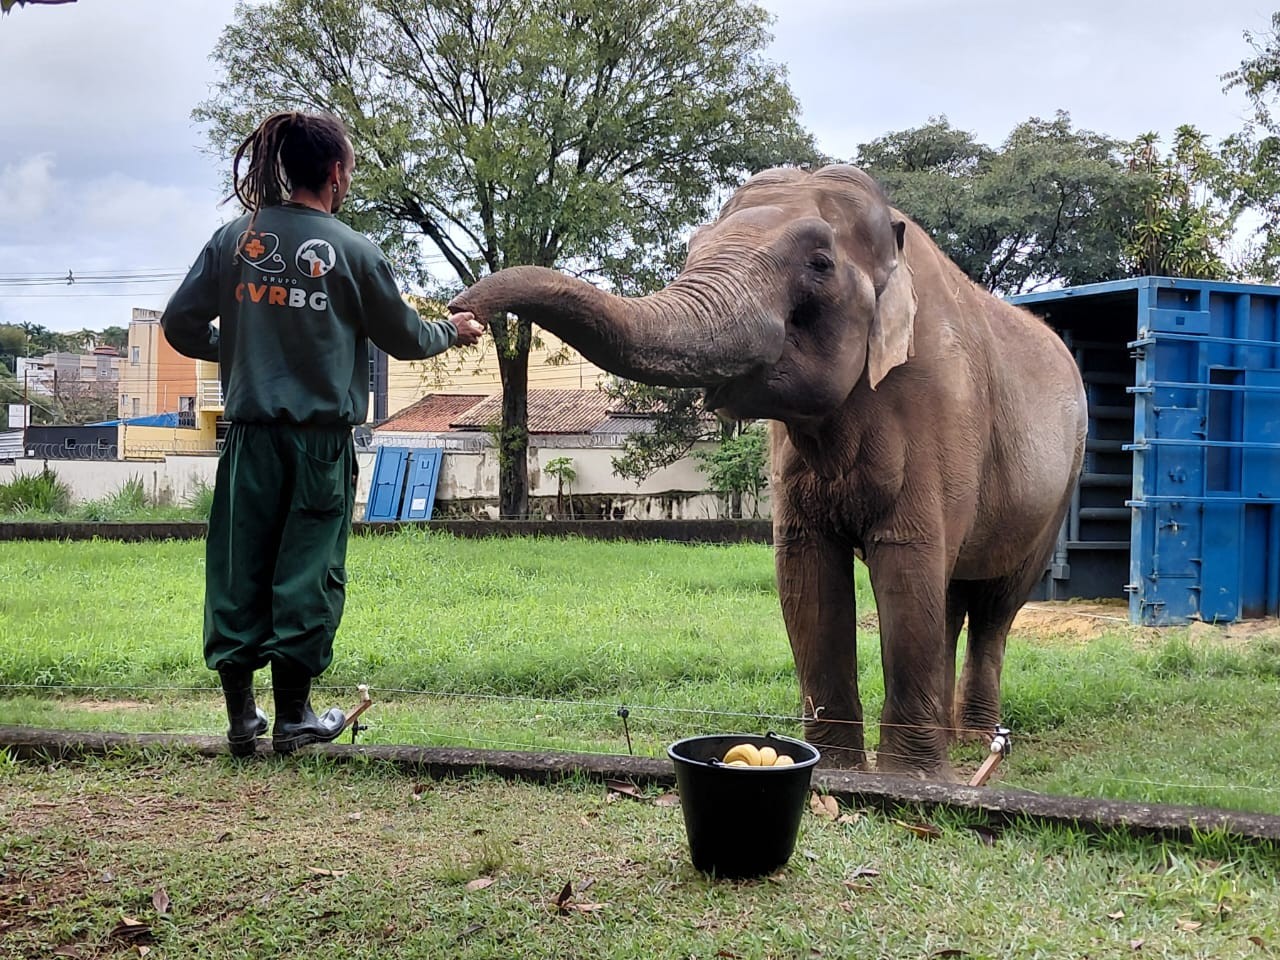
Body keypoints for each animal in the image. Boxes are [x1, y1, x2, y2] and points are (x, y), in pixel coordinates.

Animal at [449, 164, 1087, 780]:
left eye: (820, 264)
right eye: (693, 248)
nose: (462, 311)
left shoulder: (939, 406)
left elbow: (907, 560)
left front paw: (912, 781)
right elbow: (806, 572)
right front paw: (834, 767)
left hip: (1060, 488)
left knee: (995, 604)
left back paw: (979, 741)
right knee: (951, 596)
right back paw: (959, 739)